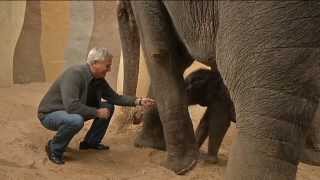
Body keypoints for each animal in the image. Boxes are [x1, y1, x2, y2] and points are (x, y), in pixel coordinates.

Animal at [118, 0, 320, 179]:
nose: (135, 117)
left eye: (124, 13)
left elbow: (160, 53)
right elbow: (180, 58)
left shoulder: (220, 100)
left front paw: (180, 167)